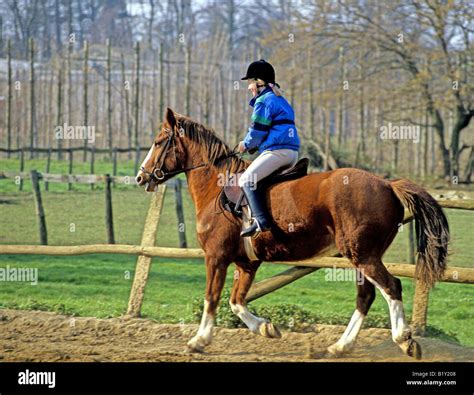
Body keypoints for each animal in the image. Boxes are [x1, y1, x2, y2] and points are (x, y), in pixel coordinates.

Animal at [136, 107, 448, 358]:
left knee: (391, 287)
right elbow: (236, 301)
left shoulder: (216, 257)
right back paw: (340, 346)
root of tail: (387, 185)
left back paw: (404, 340)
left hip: (363, 256)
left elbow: (212, 297)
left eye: (159, 141)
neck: (216, 186)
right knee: (366, 296)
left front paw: (199, 340)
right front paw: (266, 328)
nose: (140, 176)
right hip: (361, 257)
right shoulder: (246, 263)